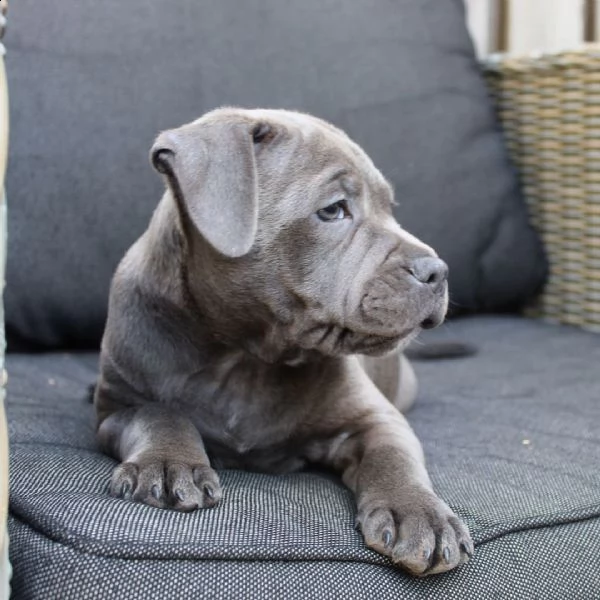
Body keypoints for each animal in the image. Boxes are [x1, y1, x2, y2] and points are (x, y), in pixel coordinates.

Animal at [95, 108, 474, 576]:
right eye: (333, 210)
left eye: (390, 208)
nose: (437, 270)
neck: (249, 355)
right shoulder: (117, 407)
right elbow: (158, 414)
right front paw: (167, 463)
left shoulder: (376, 418)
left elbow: (394, 457)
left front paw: (420, 512)